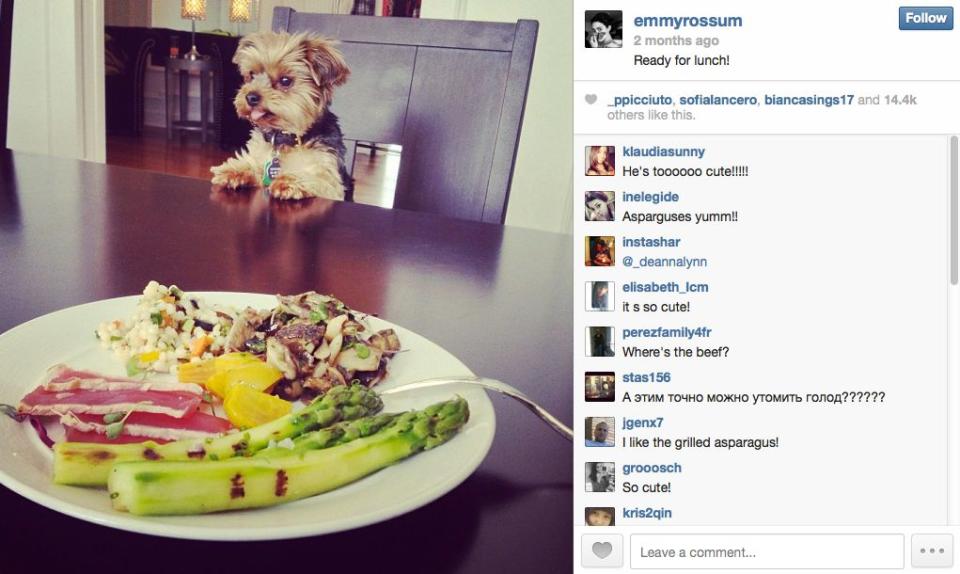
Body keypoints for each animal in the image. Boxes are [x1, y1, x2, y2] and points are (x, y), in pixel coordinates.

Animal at [212, 32, 354, 202]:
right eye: (252, 75)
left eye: (285, 81)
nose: (250, 97)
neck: (285, 136)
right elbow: (253, 165)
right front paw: (234, 170)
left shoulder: (329, 177)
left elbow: (316, 177)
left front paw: (288, 181)